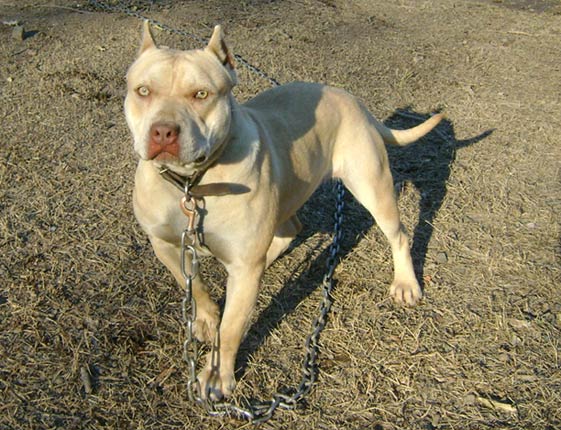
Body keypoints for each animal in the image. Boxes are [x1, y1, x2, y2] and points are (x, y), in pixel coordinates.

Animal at [123, 22, 442, 400]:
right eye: (143, 91)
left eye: (201, 94)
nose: (163, 131)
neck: (192, 184)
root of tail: (354, 101)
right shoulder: (165, 244)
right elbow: (193, 282)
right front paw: (205, 318)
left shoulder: (242, 265)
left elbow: (231, 329)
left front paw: (216, 374)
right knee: (291, 227)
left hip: (372, 185)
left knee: (398, 234)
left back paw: (406, 283)